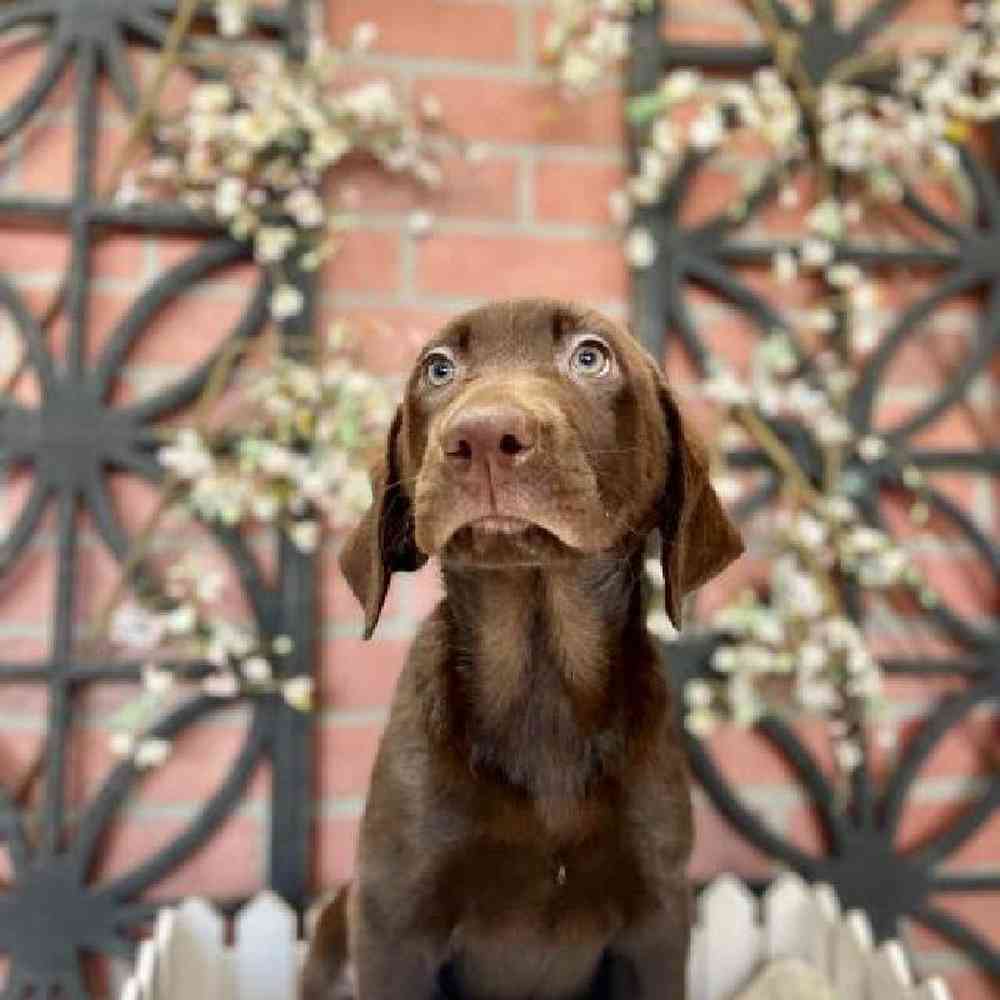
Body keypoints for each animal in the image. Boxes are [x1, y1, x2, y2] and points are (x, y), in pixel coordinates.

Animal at [304, 298, 744, 1000]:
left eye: (591, 356)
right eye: (438, 368)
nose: (483, 437)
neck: (541, 677)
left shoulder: (656, 922)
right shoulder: (393, 919)